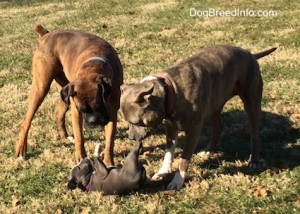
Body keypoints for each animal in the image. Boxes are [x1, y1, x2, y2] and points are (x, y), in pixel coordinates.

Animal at [14, 25, 123, 166]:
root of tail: (46, 34)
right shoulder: (76, 110)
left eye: (99, 105)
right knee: (26, 120)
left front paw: (108, 162)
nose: (93, 122)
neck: (94, 61)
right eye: (83, 110)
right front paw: (81, 158)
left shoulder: (112, 110)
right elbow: (79, 136)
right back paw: (21, 149)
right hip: (41, 87)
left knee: (58, 113)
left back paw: (65, 136)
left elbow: (110, 140)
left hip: (64, 90)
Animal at [119, 45, 276, 191]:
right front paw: (162, 172)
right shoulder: (171, 128)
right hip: (215, 105)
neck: (170, 90)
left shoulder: (193, 131)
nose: (131, 137)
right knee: (218, 127)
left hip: (251, 103)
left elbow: (184, 158)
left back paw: (253, 160)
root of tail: (250, 54)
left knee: (255, 133)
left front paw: (178, 181)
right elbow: (168, 153)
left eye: (136, 122)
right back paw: (208, 150)